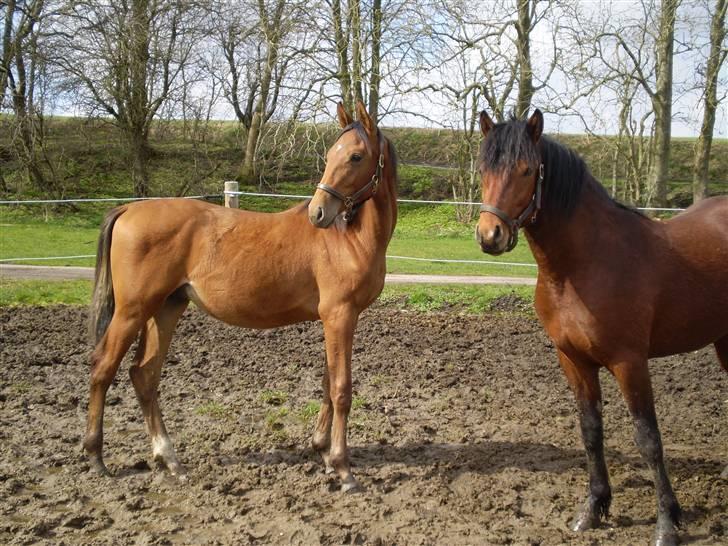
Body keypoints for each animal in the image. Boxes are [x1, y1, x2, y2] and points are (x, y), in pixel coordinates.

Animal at [84, 100, 398, 490]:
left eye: (355, 156)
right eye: (331, 154)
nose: (318, 212)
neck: (350, 238)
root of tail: (129, 207)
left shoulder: (335, 319)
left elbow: (327, 382)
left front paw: (322, 451)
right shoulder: (339, 315)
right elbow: (341, 388)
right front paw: (342, 467)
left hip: (166, 308)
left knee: (144, 375)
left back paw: (170, 460)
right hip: (132, 310)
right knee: (103, 368)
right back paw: (96, 456)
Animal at [474, 108, 724, 544]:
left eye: (527, 170)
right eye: (485, 167)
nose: (491, 235)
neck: (585, 263)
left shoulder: (630, 363)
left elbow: (648, 439)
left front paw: (667, 523)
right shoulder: (573, 360)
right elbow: (591, 431)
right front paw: (592, 510)